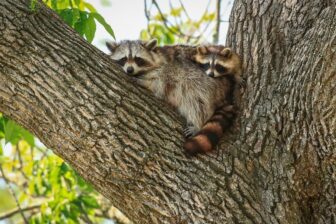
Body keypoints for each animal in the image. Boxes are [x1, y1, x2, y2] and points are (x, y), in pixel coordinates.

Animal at [106, 39, 238, 155]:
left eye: (138, 59)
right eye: (123, 59)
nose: (130, 70)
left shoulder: (167, 64)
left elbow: (164, 78)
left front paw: (147, 83)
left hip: (209, 84)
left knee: (193, 93)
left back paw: (198, 122)